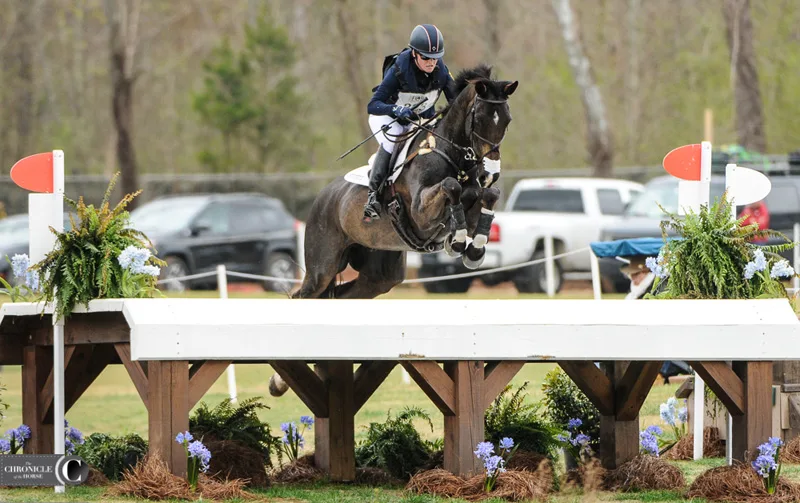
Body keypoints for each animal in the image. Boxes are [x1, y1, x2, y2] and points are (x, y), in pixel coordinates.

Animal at [290, 64, 516, 298]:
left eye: (507, 120)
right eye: (478, 119)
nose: (489, 175)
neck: (450, 154)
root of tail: (322, 197)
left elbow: (489, 195)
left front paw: (474, 250)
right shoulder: (421, 212)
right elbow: (451, 185)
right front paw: (457, 241)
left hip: (380, 272)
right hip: (323, 265)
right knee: (306, 292)